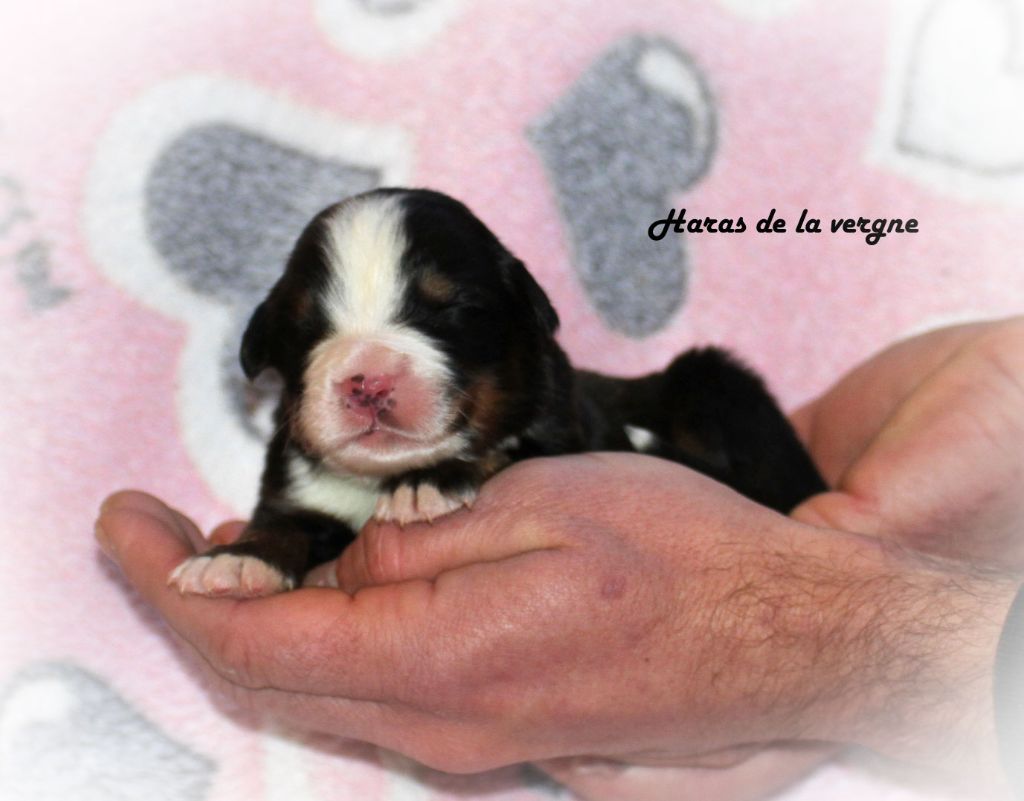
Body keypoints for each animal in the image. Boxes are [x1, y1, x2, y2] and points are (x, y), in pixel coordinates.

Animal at [169, 189, 823, 602]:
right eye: (307, 328)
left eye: (451, 310)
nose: (368, 381)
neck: (377, 480)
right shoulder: (301, 493)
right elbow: (282, 525)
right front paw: (235, 561)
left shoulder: (562, 438)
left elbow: (502, 449)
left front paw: (430, 483)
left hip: (713, 379)